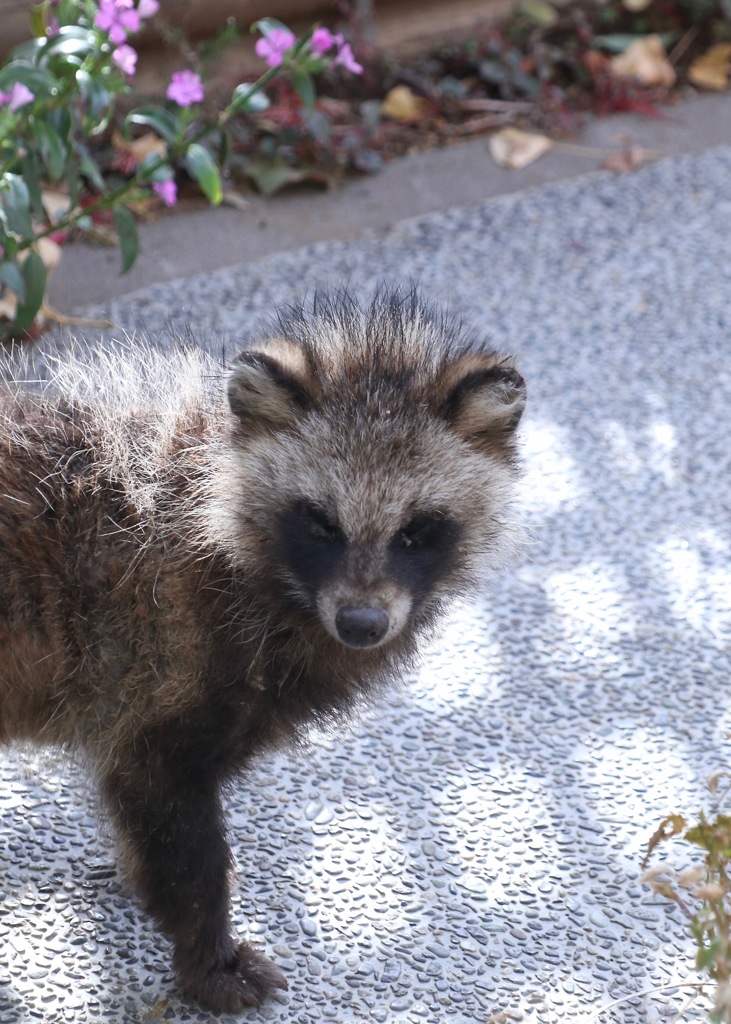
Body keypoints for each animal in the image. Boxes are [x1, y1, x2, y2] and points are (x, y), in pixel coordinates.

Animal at [0, 288, 524, 1007]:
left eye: (416, 531)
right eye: (320, 522)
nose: (362, 624)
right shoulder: (164, 657)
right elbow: (171, 820)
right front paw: (207, 954)